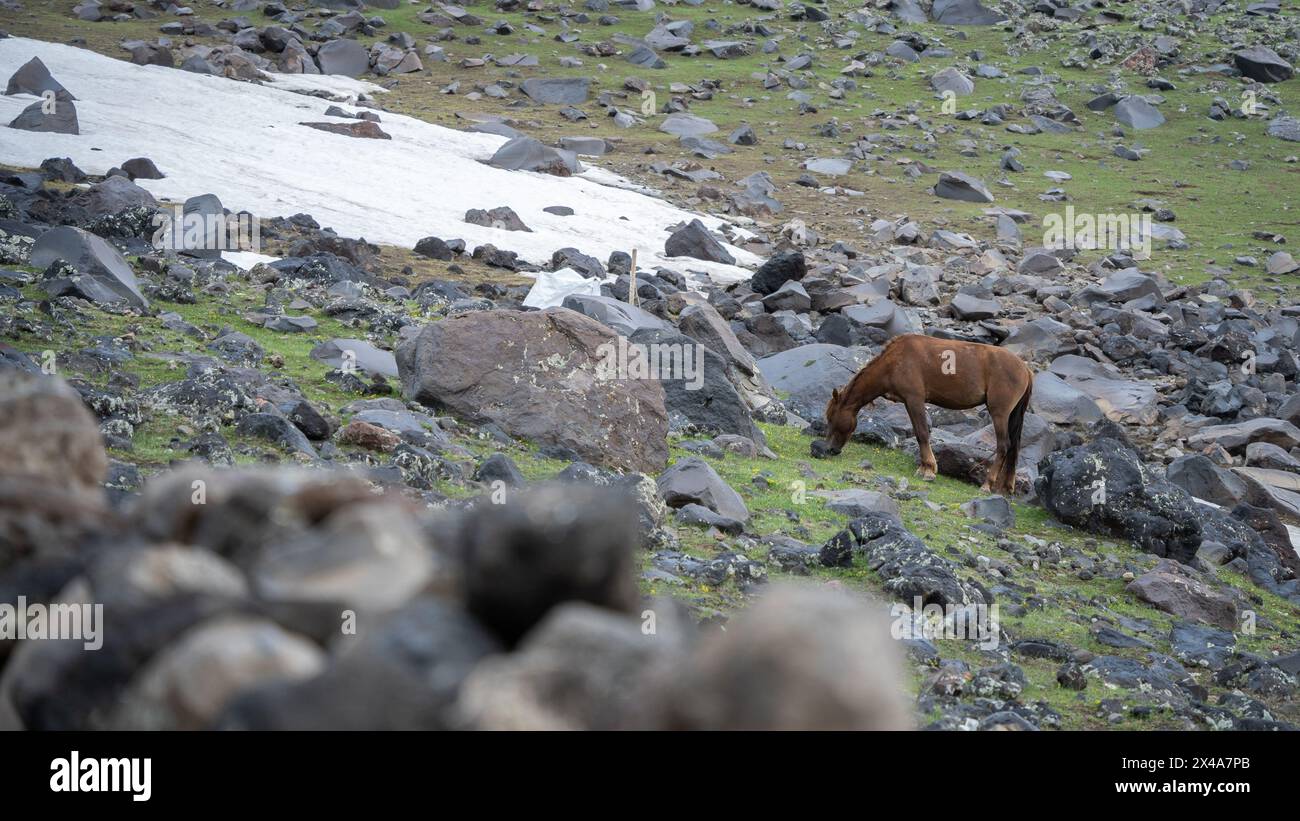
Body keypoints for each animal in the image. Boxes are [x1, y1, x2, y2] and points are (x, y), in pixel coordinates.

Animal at [811, 332, 1034, 493]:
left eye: (831, 417)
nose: (830, 449)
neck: (894, 361)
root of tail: (1025, 369)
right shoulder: (909, 403)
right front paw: (924, 467)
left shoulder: (915, 399)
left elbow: (922, 433)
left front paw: (929, 470)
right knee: (1013, 448)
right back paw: (1006, 487)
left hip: (999, 413)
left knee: (1004, 446)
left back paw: (988, 484)